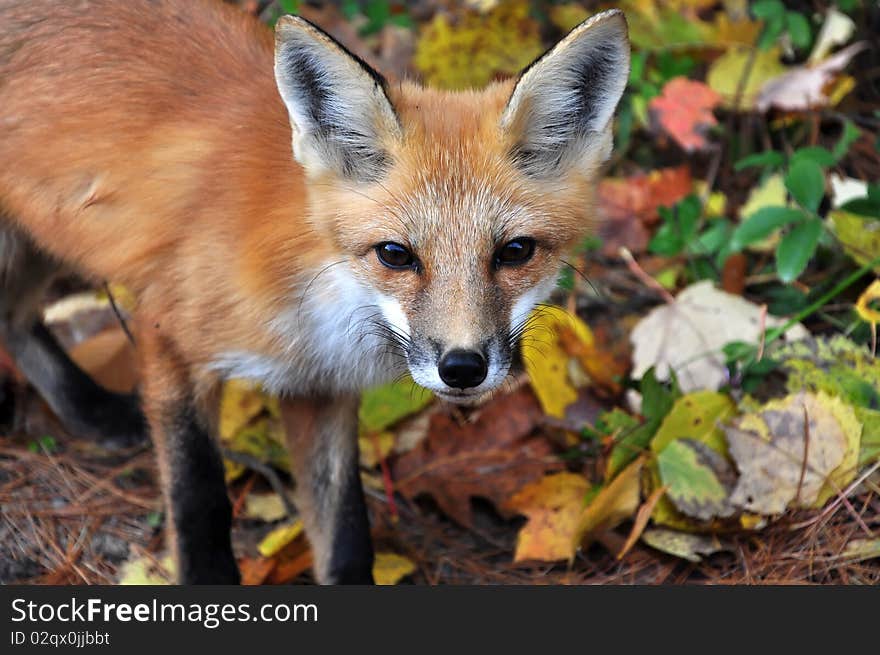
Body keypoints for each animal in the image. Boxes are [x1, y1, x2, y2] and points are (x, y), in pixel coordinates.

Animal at [0, 0, 632, 584]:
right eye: (395, 255)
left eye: (515, 252)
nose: (462, 368)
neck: (315, 299)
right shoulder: (166, 333)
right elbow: (198, 496)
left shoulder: (320, 386)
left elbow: (345, 527)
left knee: (15, 318)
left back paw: (89, 410)